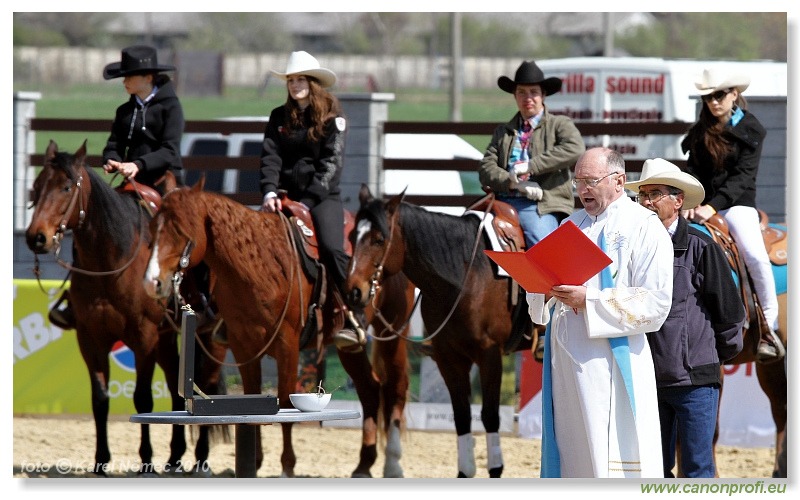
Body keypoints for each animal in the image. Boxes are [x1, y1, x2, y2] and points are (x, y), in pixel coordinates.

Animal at [25, 141, 225, 476]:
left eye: (66, 187)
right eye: (37, 187)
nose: (35, 237)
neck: (112, 261)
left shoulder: (144, 339)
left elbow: (142, 399)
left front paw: (145, 462)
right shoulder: (90, 339)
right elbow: (100, 399)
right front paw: (100, 461)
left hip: (208, 340)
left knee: (208, 384)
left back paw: (201, 461)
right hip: (167, 341)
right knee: (176, 386)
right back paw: (174, 458)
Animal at [143, 178, 416, 478]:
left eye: (181, 229)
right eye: (152, 228)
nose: (152, 282)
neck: (259, 265)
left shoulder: (288, 344)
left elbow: (285, 403)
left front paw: (287, 466)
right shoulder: (243, 346)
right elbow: (253, 400)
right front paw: (255, 462)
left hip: (392, 333)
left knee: (396, 388)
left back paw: (392, 463)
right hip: (349, 349)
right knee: (369, 389)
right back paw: (364, 465)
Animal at [344, 184, 536, 476]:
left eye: (379, 239)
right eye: (352, 236)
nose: (354, 291)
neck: (466, 274)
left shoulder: (489, 355)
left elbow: (490, 415)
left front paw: (495, 468)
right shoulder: (449, 358)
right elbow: (462, 415)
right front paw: (465, 471)